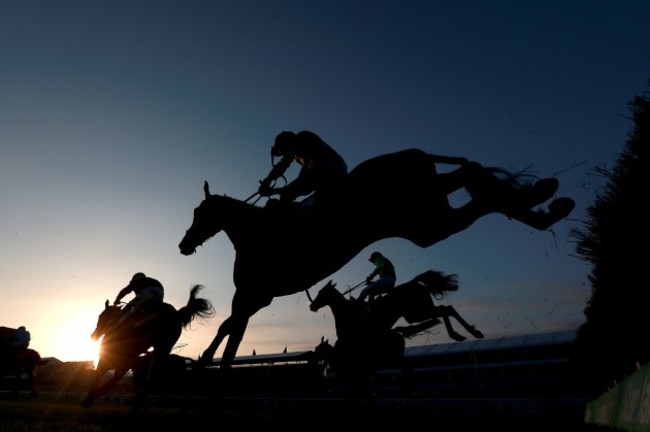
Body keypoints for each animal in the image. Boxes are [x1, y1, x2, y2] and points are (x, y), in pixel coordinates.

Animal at [80, 284, 213, 408]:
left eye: (101, 316)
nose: (93, 335)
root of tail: (176, 314)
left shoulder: (111, 360)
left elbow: (99, 376)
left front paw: (89, 398)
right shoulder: (123, 364)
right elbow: (110, 380)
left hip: (161, 347)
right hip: (162, 349)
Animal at [178, 148, 572, 368]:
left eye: (199, 213)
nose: (183, 245)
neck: (257, 233)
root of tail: (415, 153)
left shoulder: (252, 294)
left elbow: (230, 330)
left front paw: (205, 360)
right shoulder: (258, 298)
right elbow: (230, 329)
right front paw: (207, 359)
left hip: (425, 220)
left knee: (481, 194)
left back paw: (546, 202)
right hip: (427, 215)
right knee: (472, 181)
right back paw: (546, 198)